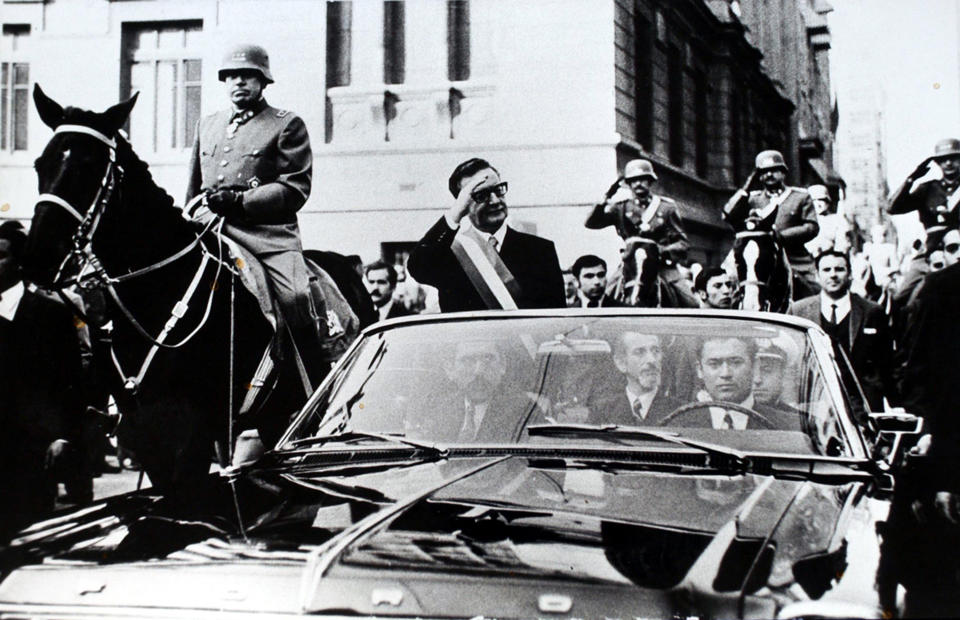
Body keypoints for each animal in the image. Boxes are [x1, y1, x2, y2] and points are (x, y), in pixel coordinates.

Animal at [21, 86, 334, 504]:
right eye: (41, 164)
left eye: (88, 167)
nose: (37, 258)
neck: (157, 295)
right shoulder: (146, 432)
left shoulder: (191, 435)